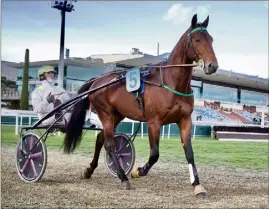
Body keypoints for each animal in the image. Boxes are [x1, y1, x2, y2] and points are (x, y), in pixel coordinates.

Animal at [63, 14, 218, 198]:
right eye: (197, 39)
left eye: (211, 39)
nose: (212, 65)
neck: (170, 82)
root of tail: (97, 80)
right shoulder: (154, 123)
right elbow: (155, 154)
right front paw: (138, 171)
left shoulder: (185, 120)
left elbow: (189, 153)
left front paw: (197, 185)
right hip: (105, 113)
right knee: (109, 144)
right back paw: (123, 178)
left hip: (117, 115)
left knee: (101, 138)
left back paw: (90, 170)